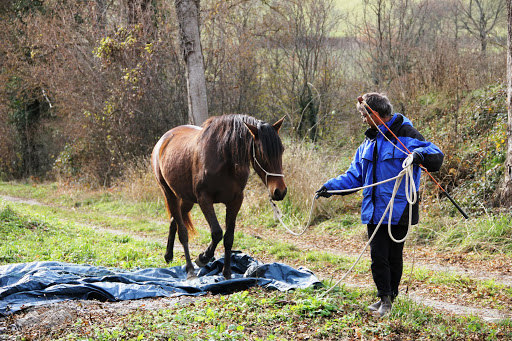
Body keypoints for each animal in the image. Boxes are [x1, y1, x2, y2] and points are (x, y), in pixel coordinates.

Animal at [152, 114, 288, 278]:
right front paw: (203, 258)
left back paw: (169, 255)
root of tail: (163, 140)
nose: (280, 191)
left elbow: (229, 237)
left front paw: (227, 273)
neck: (224, 158)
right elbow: (217, 233)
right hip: (169, 193)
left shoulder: (235, 201)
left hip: (187, 199)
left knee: (174, 220)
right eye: (262, 152)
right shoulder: (204, 200)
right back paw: (190, 269)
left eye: (281, 150)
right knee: (182, 231)